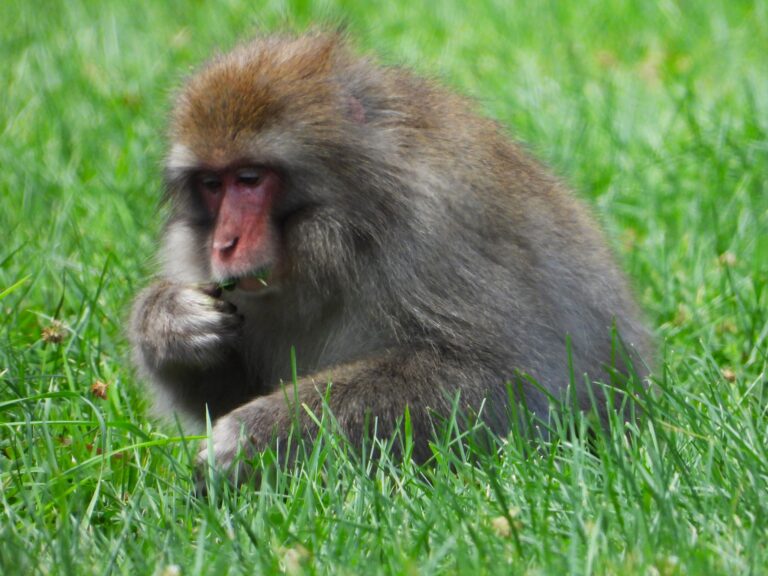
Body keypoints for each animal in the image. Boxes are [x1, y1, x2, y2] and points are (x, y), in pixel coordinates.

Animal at [129, 31, 651, 475]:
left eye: (250, 179)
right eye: (212, 184)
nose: (224, 244)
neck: (348, 230)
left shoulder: (436, 232)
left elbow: (499, 382)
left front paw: (253, 437)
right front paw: (168, 321)